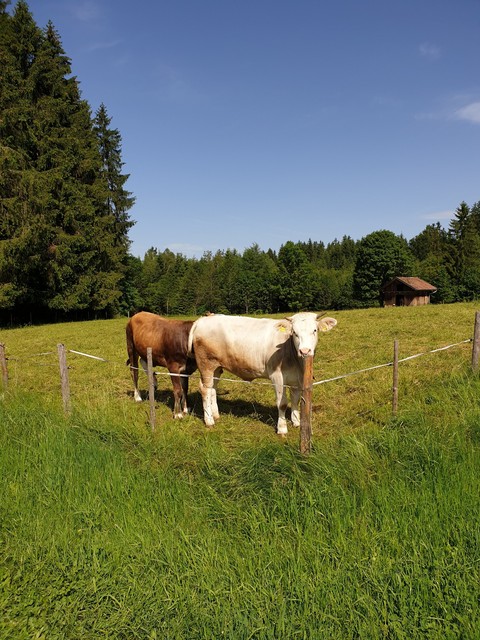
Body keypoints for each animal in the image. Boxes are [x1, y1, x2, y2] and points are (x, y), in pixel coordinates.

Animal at [188, 312, 337, 434]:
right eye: (294, 332)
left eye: (315, 330)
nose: (305, 351)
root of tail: (203, 319)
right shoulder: (277, 376)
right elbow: (282, 403)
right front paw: (282, 429)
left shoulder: (296, 379)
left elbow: (296, 400)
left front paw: (296, 422)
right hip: (206, 365)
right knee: (205, 389)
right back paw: (209, 420)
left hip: (217, 368)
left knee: (212, 388)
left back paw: (215, 415)